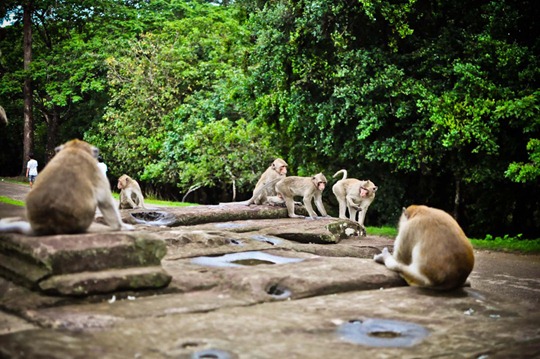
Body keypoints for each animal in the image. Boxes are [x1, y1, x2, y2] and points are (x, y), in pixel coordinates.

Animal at [0, 139, 134, 236]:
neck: (74, 148)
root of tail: (46, 226)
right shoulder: (96, 170)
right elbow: (105, 202)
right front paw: (122, 227)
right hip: (82, 221)